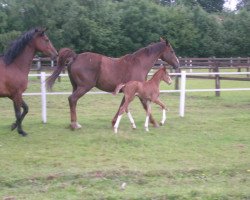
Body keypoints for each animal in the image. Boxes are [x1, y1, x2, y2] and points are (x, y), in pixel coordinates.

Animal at [46, 38, 180, 130]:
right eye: (172, 51)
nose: (177, 64)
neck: (139, 64)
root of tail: (75, 57)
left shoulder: (128, 92)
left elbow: (122, 106)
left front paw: (114, 122)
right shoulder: (138, 93)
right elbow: (144, 107)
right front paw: (155, 123)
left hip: (75, 87)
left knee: (72, 101)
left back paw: (73, 123)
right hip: (84, 87)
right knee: (72, 99)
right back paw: (75, 125)